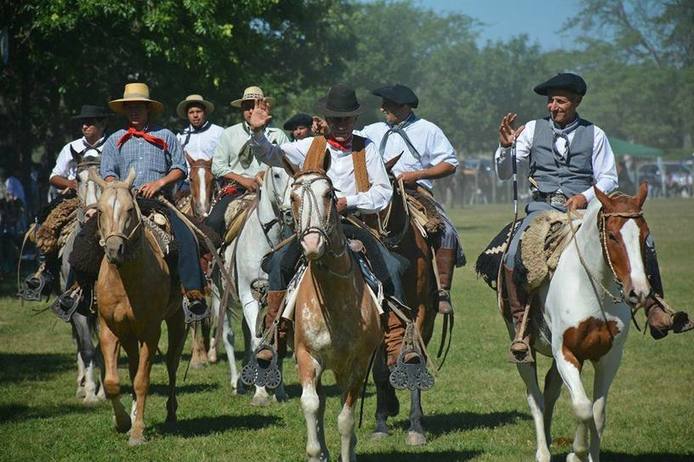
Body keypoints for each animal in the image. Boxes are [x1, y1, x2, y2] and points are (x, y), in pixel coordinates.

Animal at [89, 168, 188, 446]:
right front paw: (123, 422)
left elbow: (142, 381)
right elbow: (113, 381)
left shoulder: (150, 332)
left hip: (177, 321)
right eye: (100, 211)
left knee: (172, 365)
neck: (125, 281)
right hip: (128, 334)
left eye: (129, 210)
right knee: (133, 367)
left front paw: (137, 432)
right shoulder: (109, 329)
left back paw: (171, 412)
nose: (115, 249)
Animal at [211, 166, 292, 404]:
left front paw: (279, 390)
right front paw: (261, 393)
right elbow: (258, 342)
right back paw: (236, 382)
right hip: (219, 295)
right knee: (229, 336)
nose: (290, 211)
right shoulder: (248, 295)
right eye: (277, 174)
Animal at [290, 167, 384, 462]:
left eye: (328, 194)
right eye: (293, 197)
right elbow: (311, 405)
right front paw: (316, 452)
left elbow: (346, 419)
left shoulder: (358, 364)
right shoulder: (307, 356)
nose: (311, 243)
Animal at [500, 184, 652, 462]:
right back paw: (543, 451)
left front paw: (590, 455)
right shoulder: (566, 352)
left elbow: (598, 413)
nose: (639, 292)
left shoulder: (609, 357)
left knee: (550, 389)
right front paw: (577, 453)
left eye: (644, 235)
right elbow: (582, 407)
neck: (592, 290)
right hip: (522, 349)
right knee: (535, 397)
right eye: (612, 236)